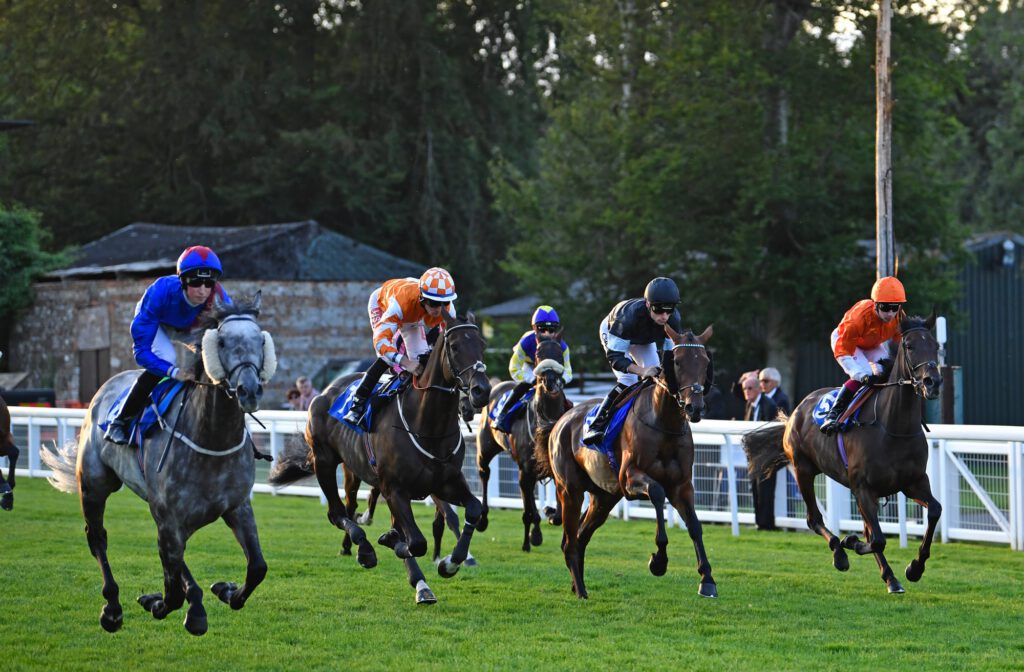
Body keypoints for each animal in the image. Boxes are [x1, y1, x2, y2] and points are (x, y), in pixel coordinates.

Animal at [43, 295, 276, 635]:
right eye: (221, 341)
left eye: (260, 340)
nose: (248, 389)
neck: (211, 439)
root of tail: (103, 390)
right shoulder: (169, 517)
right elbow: (174, 591)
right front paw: (165, 605)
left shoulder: (236, 506)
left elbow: (257, 567)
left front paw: (226, 591)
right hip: (95, 485)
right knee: (97, 538)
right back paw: (112, 609)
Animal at [270, 313, 489, 602]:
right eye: (454, 346)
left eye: (482, 344)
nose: (481, 391)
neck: (427, 425)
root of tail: (325, 392)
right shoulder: (395, 488)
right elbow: (416, 542)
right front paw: (392, 544)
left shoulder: (445, 482)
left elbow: (472, 509)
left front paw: (450, 563)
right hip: (324, 462)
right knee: (337, 512)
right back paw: (364, 549)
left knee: (352, 508)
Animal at [475, 338, 573, 549]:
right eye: (537, 353)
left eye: (560, 353)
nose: (550, 381)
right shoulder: (525, 470)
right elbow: (528, 510)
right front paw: (532, 537)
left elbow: (558, 514)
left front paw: (550, 513)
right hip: (485, 448)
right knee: (484, 473)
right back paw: (482, 518)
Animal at [540, 325, 716, 598]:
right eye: (677, 361)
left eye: (705, 361)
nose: (694, 408)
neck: (663, 423)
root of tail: (561, 420)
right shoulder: (629, 479)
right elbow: (657, 493)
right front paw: (658, 561)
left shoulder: (682, 485)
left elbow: (695, 526)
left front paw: (707, 579)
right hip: (570, 490)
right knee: (570, 542)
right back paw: (581, 591)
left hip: (603, 497)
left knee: (580, 537)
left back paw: (576, 584)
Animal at [745, 315, 942, 594]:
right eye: (910, 346)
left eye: (936, 346)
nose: (932, 382)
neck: (893, 427)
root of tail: (796, 410)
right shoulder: (863, 488)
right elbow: (877, 539)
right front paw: (850, 542)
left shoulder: (913, 482)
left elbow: (934, 510)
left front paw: (915, 568)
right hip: (803, 470)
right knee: (814, 519)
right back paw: (840, 553)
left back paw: (890, 578)